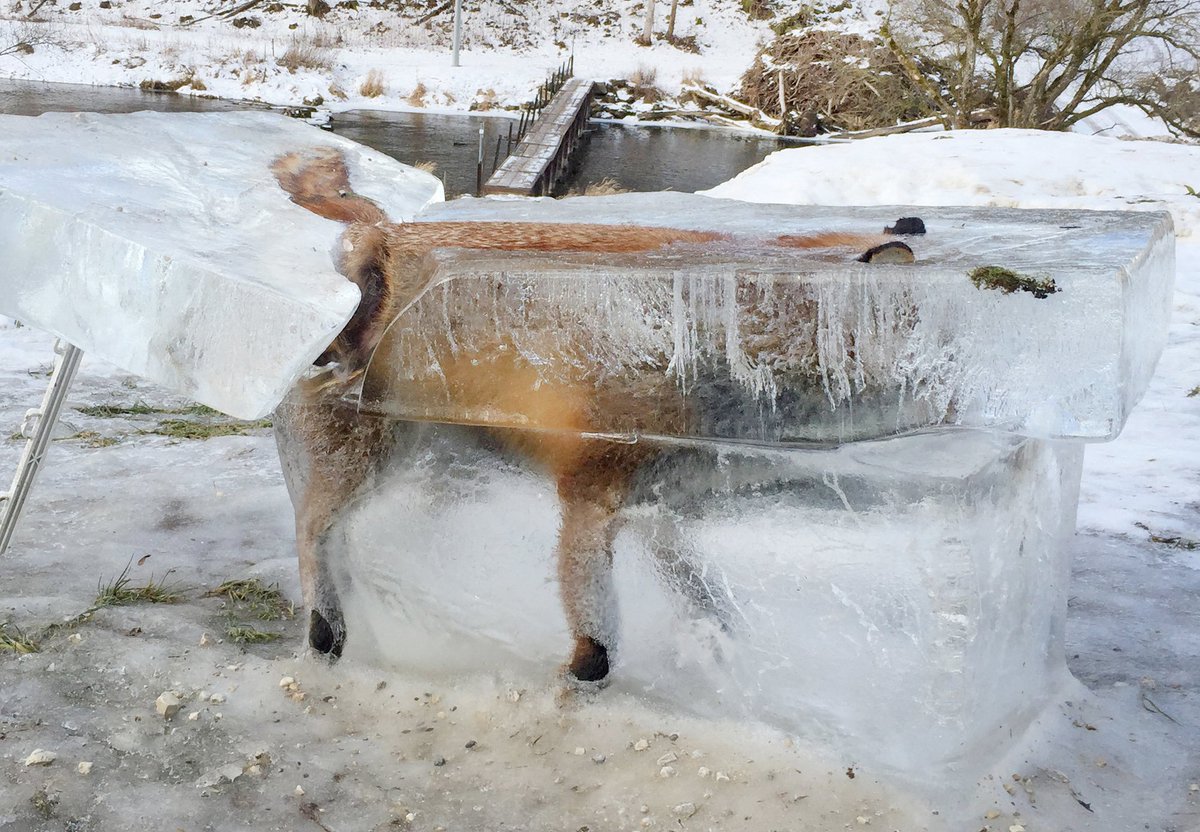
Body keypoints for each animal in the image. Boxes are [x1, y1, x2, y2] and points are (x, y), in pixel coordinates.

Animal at [271, 146, 924, 683]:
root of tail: (383, 235)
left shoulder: (663, 506)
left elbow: (704, 596)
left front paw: (714, 649)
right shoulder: (591, 488)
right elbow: (597, 639)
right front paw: (582, 681)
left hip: (435, 464)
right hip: (368, 457)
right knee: (312, 529)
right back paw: (326, 630)